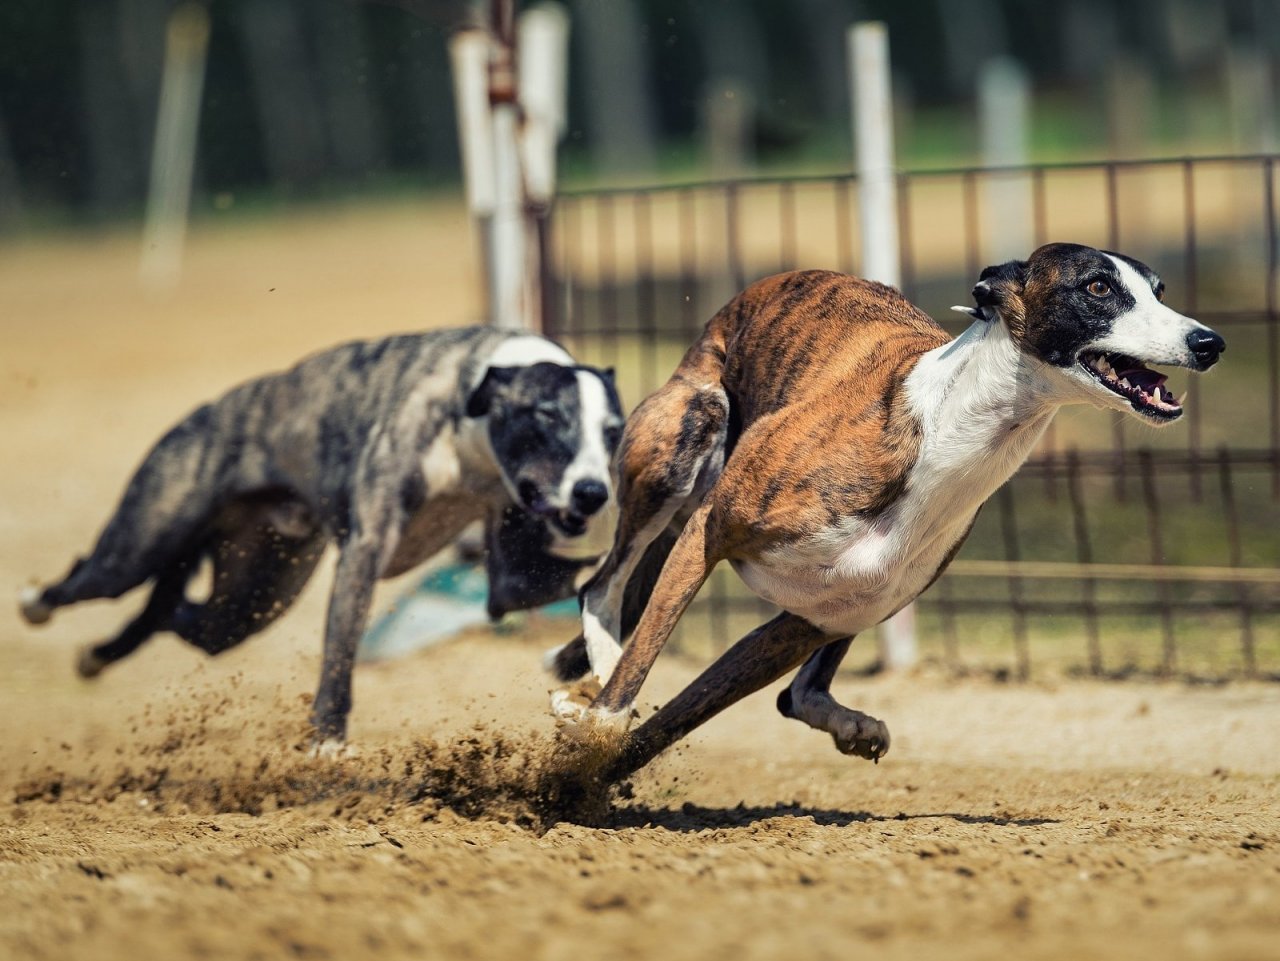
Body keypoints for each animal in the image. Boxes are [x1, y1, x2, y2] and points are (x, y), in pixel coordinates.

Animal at [17, 327, 622, 747]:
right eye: (547, 416)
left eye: (613, 432)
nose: (593, 492)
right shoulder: (365, 550)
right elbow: (339, 653)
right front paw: (327, 742)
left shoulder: (512, 577)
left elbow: (567, 584)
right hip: (139, 544)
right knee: (93, 579)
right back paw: (35, 604)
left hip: (251, 598)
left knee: (176, 613)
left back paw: (98, 655)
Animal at [552, 241, 1228, 783]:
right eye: (1097, 287)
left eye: (1159, 291)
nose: (1209, 343)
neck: (942, 429)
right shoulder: (708, 531)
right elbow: (639, 668)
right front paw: (591, 737)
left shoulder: (804, 624)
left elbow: (669, 726)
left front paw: (575, 791)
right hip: (686, 441)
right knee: (601, 587)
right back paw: (593, 677)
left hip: (850, 599)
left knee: (796, 695)